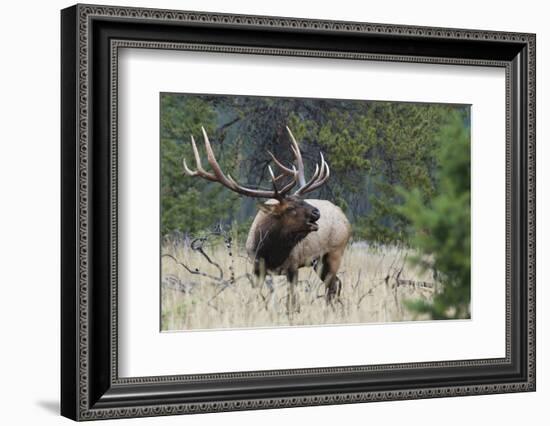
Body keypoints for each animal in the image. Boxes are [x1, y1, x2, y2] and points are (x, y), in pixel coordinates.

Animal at [183, 126, 352, 310]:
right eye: (291, 208)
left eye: (303, 200)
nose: (317, 213)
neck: (271, 251)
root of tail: (345, 218)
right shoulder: (257, 266)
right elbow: (256, 296)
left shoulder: (293, 266)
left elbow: (291, 303)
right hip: (318, 262)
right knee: (336, 283)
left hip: (334, 253)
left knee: (333, 285)